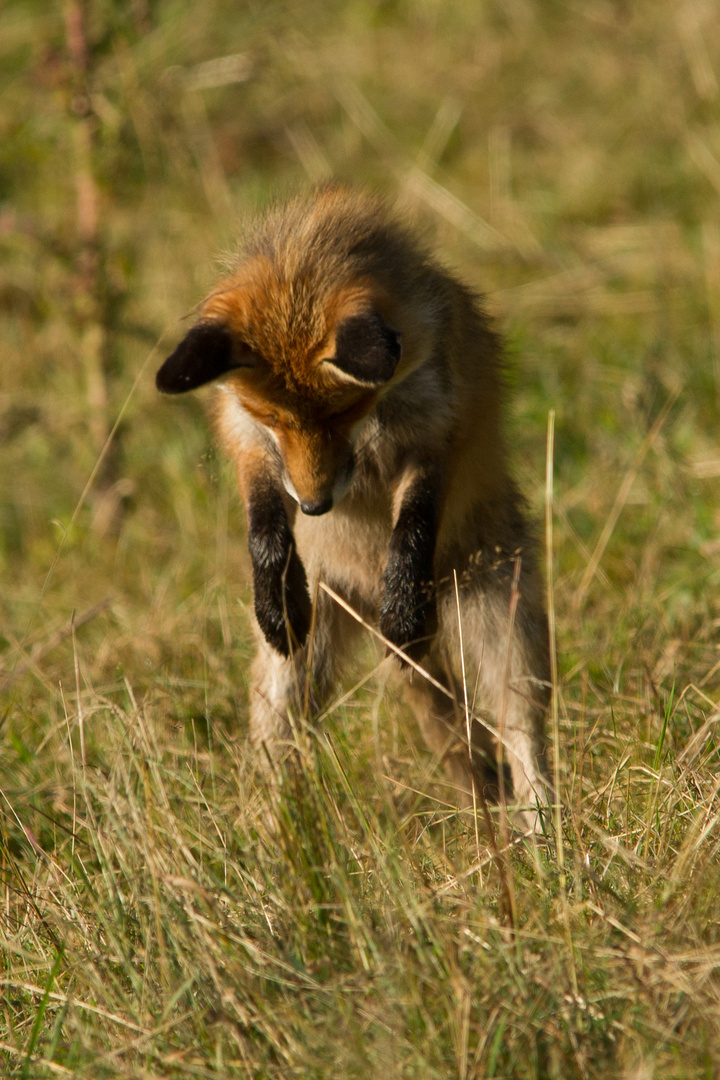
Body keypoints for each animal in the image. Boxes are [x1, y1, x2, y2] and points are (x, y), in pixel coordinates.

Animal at [158, 185, 552, 825]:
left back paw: (542, 826)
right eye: (272, 418)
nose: (316, 507)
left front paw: (404, 596)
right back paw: (273, 838)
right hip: (293, 669)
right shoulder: (245, 436)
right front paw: (273, 587)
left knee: (521, 735)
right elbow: (263, 521)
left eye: (343, 411)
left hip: (501, 629)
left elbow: (415, 520)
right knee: (279, 753)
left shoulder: (435, 430)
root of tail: (363, 595)